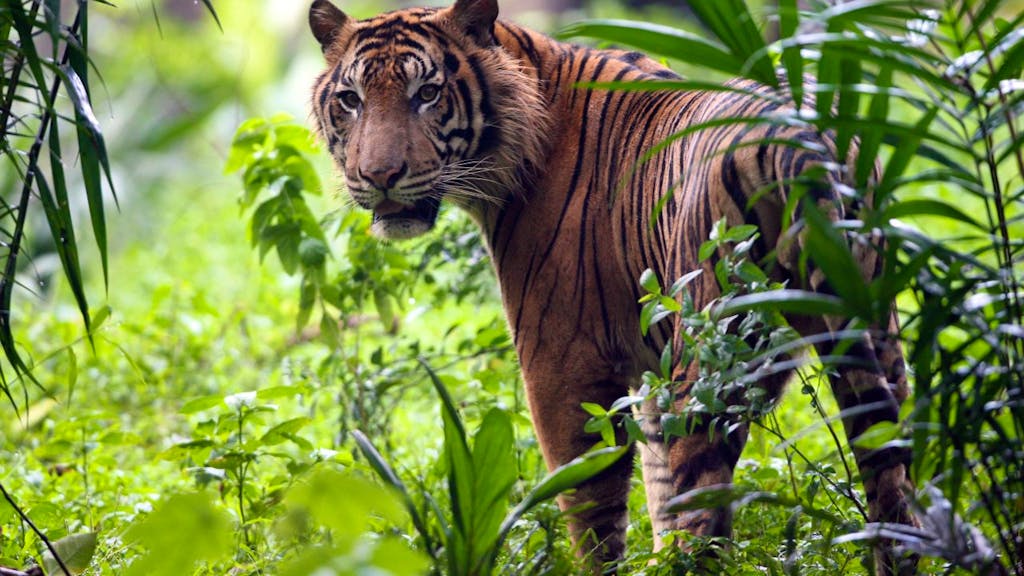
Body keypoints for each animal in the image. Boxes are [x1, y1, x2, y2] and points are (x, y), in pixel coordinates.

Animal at [305, 0, 921, 569]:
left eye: (428, 93)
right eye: (351, 100)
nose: (379, 177)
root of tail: (799, 141)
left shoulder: (561, 362)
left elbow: (593, 510)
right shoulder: (647, 373)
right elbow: (657, 492)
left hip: (711, 359)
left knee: (703, 523)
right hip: (873, 335)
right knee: (895, 496)